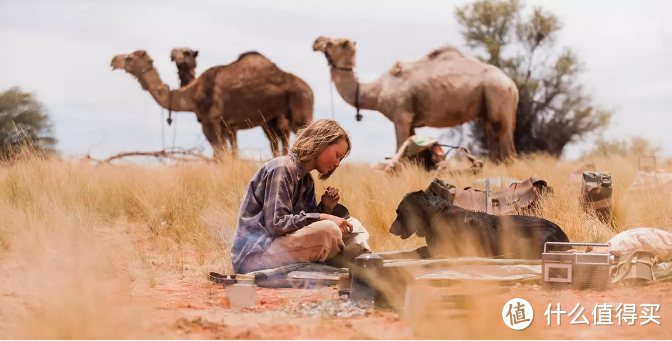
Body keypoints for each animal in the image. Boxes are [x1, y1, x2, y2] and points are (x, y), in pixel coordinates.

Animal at [112, 49, 316, 159]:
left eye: (130, 57)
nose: (113, 60)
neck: (193, 94)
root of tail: (309, 89)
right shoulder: (227, 127)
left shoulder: (211, 122)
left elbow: (220, 156)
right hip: (272, 120)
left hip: (300, 107)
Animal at [312, 36, 516, 161]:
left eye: (336, 43)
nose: (316, 41)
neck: (377, 91)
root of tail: (512, 85)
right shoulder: (410, 120)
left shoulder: (401, 115)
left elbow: (398, 149)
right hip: (488, 106)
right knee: (493, 137)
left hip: (499, 93)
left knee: (506, 141)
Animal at [388, 191, 568, 258]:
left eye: (400, 213)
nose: (390, 230)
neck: (436, 215)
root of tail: (565, 237)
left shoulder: (442, 251)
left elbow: (417, 251)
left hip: (522, 242)